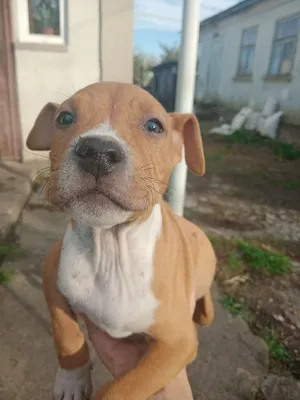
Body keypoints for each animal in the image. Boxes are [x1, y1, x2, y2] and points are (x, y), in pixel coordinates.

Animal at [26, 82, 216, 400]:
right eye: (64, 118)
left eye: (154, 126)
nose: (98, 151)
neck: (110, 247)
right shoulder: (52, 276)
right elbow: (67, 334)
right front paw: (72, 379)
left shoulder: (177, 344)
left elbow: (125, 387)